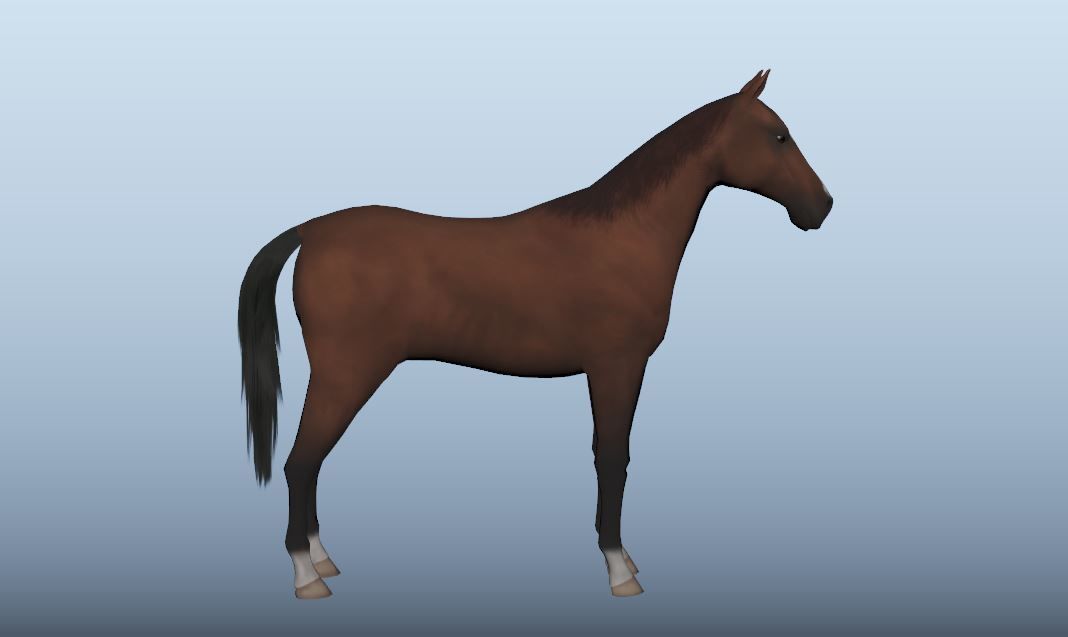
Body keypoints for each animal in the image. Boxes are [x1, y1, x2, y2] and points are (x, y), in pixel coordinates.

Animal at [238, 69, 833, 599]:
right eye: (778, 136)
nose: (822, 206)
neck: (626, 235)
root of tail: (310, 232)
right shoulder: (616, 366)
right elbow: (612, 458)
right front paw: (619, 569)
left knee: (311, 464)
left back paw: (323, 561)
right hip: (346, 374)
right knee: (301, 463)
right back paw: (307, 577)